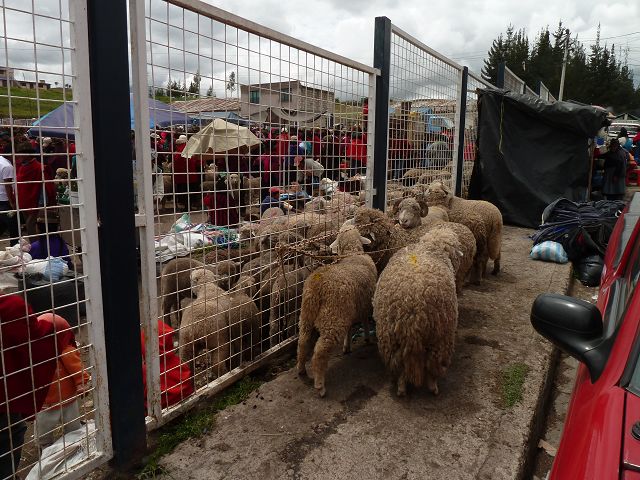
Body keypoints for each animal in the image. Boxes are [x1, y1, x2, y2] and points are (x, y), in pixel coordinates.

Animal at [296, 225, 377, 397]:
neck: (352, 253)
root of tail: (317, 286)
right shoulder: (364, 303)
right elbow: (365, 320)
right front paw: (367, 338)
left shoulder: (353, 307)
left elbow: (350, 328)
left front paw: (347, 346)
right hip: (333, 318)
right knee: (320, 351)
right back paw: (320, 385)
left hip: (307, 314)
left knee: (303, 341)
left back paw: (300, 369)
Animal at [374, 227, 463, 396]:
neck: (432, 246)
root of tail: (412, 309)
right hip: (440, 337)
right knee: (433, 365)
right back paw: (433, 386)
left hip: (390, 336)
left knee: (398, 365)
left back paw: (401, 388)